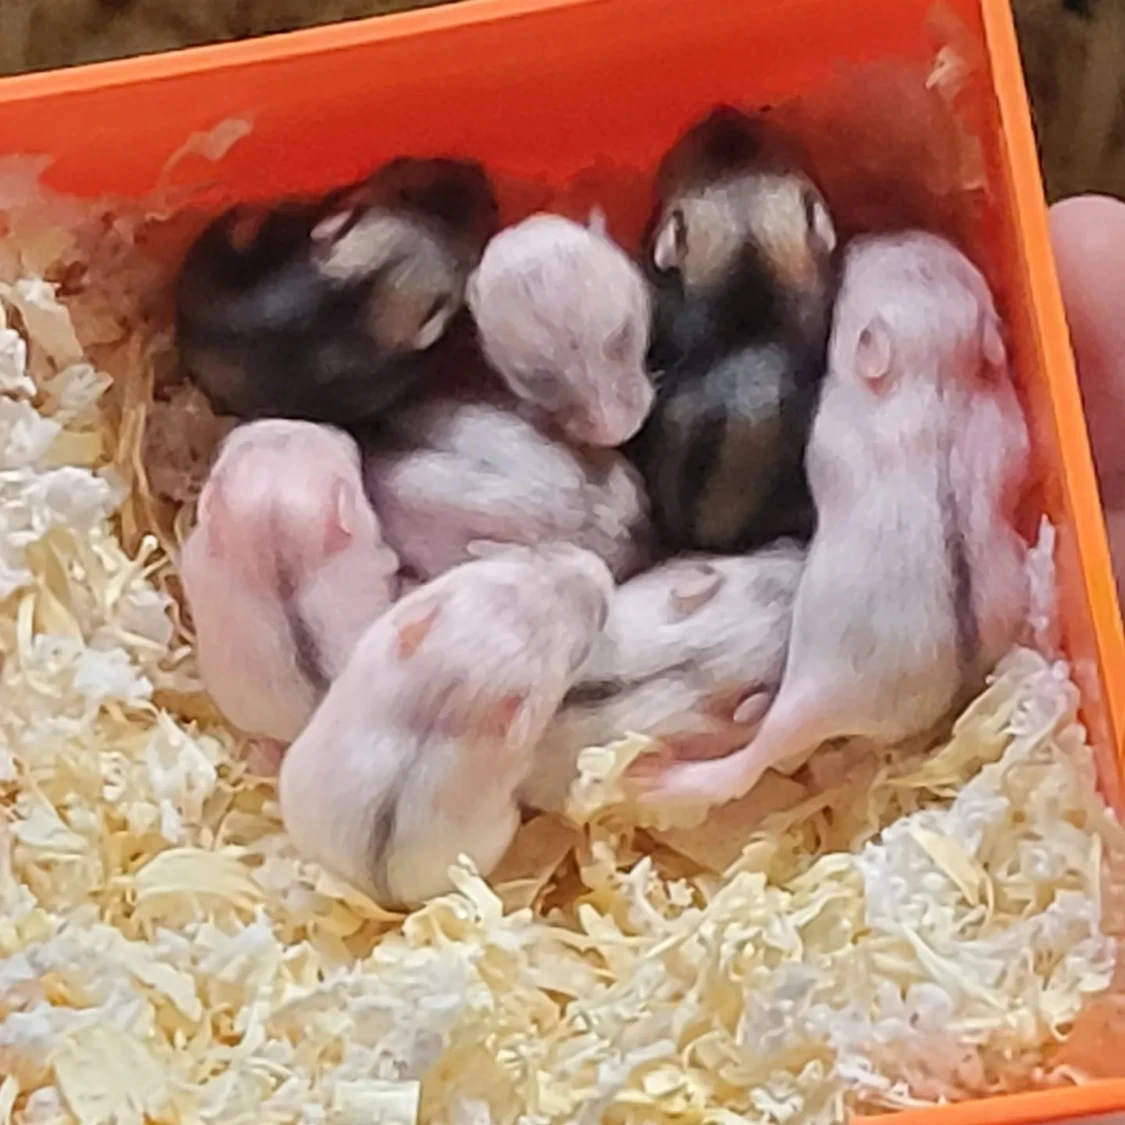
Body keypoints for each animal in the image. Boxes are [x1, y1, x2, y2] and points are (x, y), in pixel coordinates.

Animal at [629, 231, 1031, 807]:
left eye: (853, 288)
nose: (868, 237)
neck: (934, 381)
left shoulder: (826, 435)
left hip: (798, 699)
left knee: (754, 757)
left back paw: (660, 781)